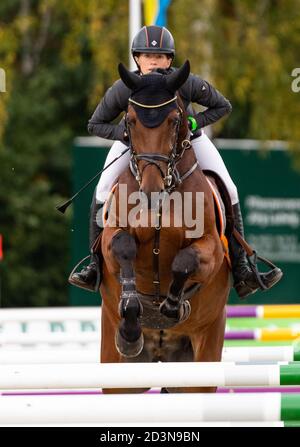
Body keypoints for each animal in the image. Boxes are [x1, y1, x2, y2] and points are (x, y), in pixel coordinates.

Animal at [97, 60, 231, 396]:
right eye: (130, 122)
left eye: (174, 121)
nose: (151, 192)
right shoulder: (111, 237)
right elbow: (123, 248)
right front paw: (131, 317)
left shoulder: (211, 248)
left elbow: (185, 261)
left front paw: (171, 306)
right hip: (118, 375)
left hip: (202, 362)